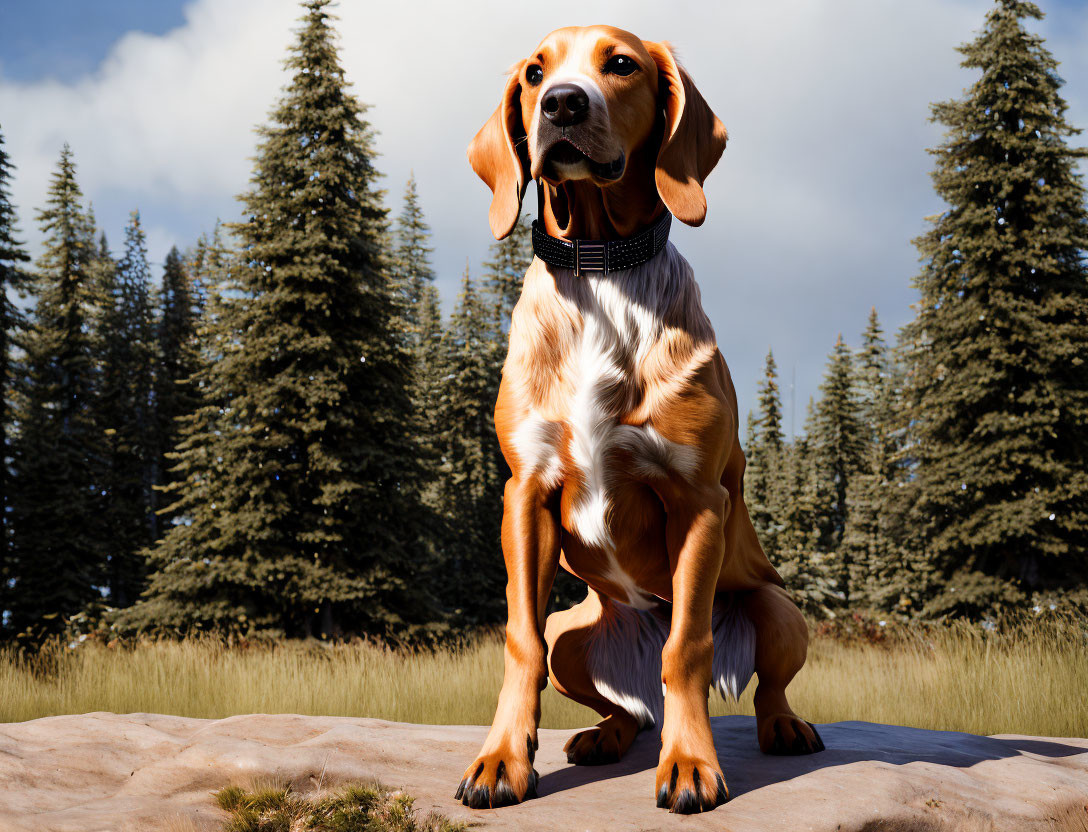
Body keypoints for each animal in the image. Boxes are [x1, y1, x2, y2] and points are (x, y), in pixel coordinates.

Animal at [456, 24, 822, 813]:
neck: (602, 272)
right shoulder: (525, 492)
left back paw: (782, 727)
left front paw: (689, 764)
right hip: (575, 633)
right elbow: (521, 643)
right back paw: (605, 736)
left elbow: (686, 647)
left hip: (781, 611)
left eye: (620, 64)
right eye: (535, 74)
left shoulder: (697, 500)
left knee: (759, 688)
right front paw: (502, 759)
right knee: (616, 702)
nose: (562, 104)